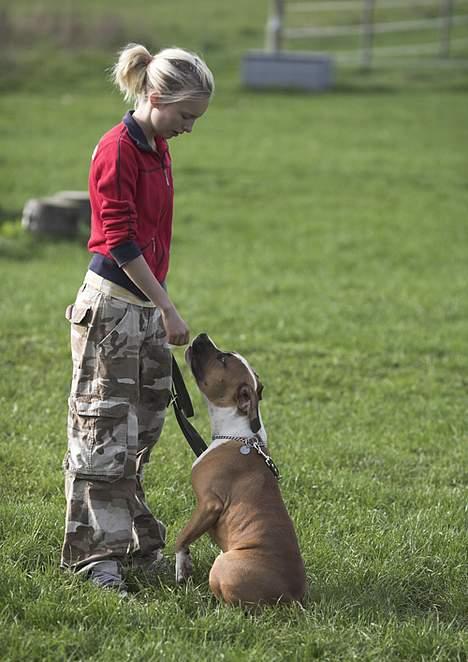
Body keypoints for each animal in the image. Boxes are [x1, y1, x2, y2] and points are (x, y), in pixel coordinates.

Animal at [174, 334, 306, 608]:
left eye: (222, 359)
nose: (202, 335)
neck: (239, 432)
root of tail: (290, 599)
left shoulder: (209, 504)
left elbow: (182, 537)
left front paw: (181, 566)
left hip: (224, 562)